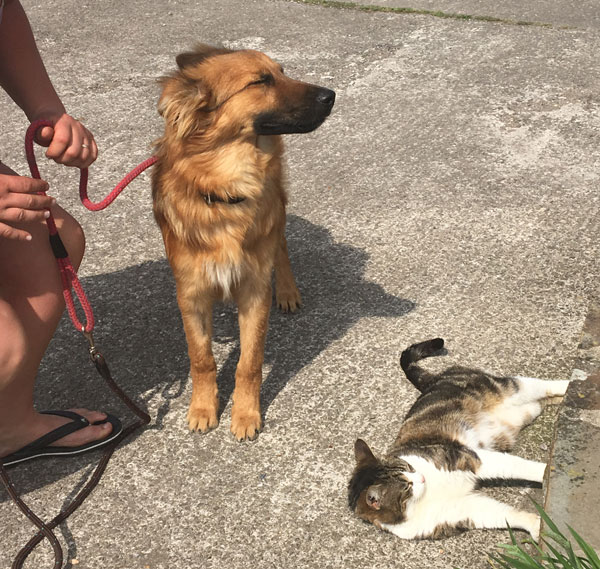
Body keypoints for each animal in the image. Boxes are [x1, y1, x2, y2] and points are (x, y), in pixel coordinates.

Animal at [152, 46, 336, 442]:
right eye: (261, 81)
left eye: (281, 72)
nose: (331, 95)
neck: (224, 191)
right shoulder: (191, 294)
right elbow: (201, 359)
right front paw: (203, 408)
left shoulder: (254, 291)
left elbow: (249, 363)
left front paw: (246, 414)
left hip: (276, 211)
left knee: (281, 245)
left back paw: (288, 290)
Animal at [346, 340, 572, 540]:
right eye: (406, 486)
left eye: (408, 467)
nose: (420, 477)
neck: (426, 493)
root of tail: (433, 381)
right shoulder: (458, 511)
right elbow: (501, 514)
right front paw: (536, 526)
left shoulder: (467, 457)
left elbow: (519, 467)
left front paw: (547, 473)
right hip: (520, 415)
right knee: (541, 401)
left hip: (504, 389)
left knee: (538, 386)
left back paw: (572, 385)